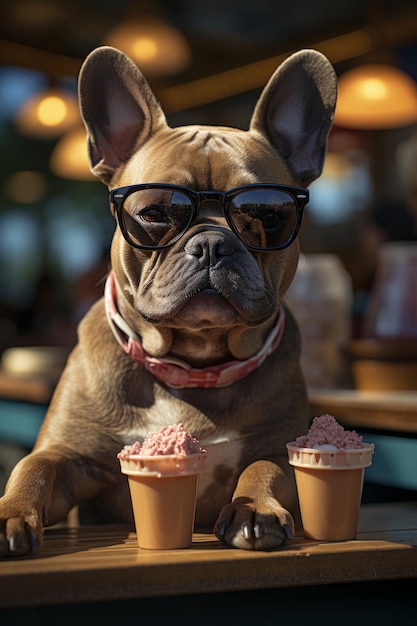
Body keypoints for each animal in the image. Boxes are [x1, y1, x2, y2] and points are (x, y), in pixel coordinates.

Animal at [0, 46, 336, 552]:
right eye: (155, 213)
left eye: (267, 215)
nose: (213, 243)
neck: (191, 366)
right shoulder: (71, 457)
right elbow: (34, 465)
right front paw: (9, 513)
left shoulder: (282, 448)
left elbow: (266, 468)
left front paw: (254, 508)